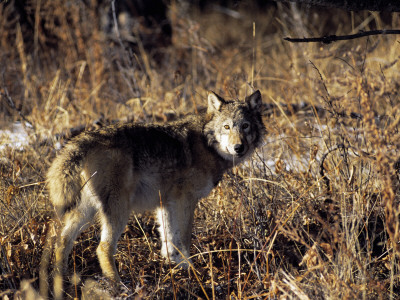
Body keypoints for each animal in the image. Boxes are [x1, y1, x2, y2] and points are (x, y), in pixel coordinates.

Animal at [39, 90, 266, 298]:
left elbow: (169, 239)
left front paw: (175, 267)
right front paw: (192, 271)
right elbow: (183, 238)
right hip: (118, 212)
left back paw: (61, 281)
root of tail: (83, 138)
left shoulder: (166, 203)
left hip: (86, 212)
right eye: (227, 127)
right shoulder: (185, 201)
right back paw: (119, 287)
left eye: (245, 126)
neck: (206, 145)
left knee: (63, 240)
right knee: (102, 248)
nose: (238, 147)